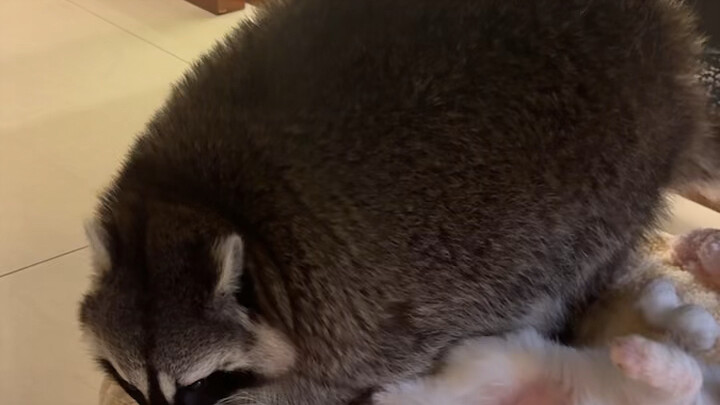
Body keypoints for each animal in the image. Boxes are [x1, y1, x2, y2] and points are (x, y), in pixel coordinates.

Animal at [78, 0, 714, 404]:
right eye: (133, 383)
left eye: (197, 385)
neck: (188, 202)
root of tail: (668, 36)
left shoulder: (354, 322)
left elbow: (316, 387)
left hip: (620, 177)